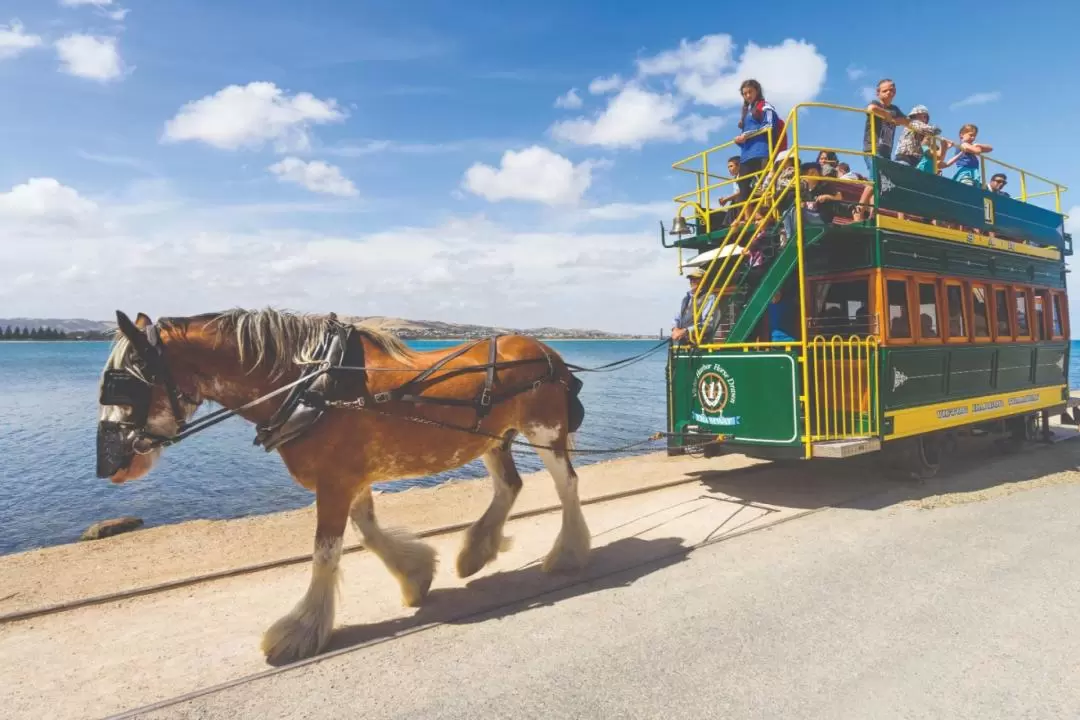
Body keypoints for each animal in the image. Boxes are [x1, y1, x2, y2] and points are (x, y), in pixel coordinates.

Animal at [97, 306, 591, 660]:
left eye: (124, 385)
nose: (107, 464)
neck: (309, 385)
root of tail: (548, 353)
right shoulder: (349, 476)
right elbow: (367, 531)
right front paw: (415, 575)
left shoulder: (335, 480)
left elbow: (325, 553)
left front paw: (301, 630)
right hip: (491, 438)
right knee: (510, 485)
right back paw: (475, 552)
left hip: (545, 432)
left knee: (567, 485)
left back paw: (567, 552)